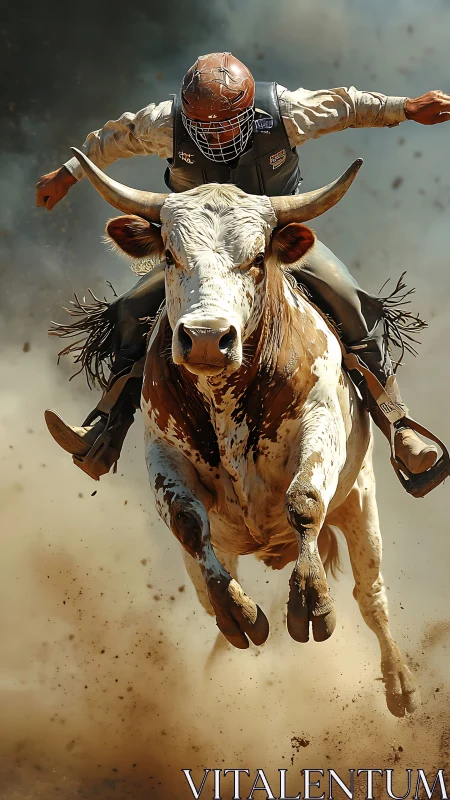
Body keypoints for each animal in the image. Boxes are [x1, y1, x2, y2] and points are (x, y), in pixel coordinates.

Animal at [69, 148, 419, 718]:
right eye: (170, 255)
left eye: (257, 257)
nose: (207, 339)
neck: (225, 396)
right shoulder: (162, 452)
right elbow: (187, 522)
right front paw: (239, 614)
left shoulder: (319, 425)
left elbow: (303, 501)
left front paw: (311, 603)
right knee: (210, 583)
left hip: (360, 500)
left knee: (372, 597)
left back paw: (401, 684)